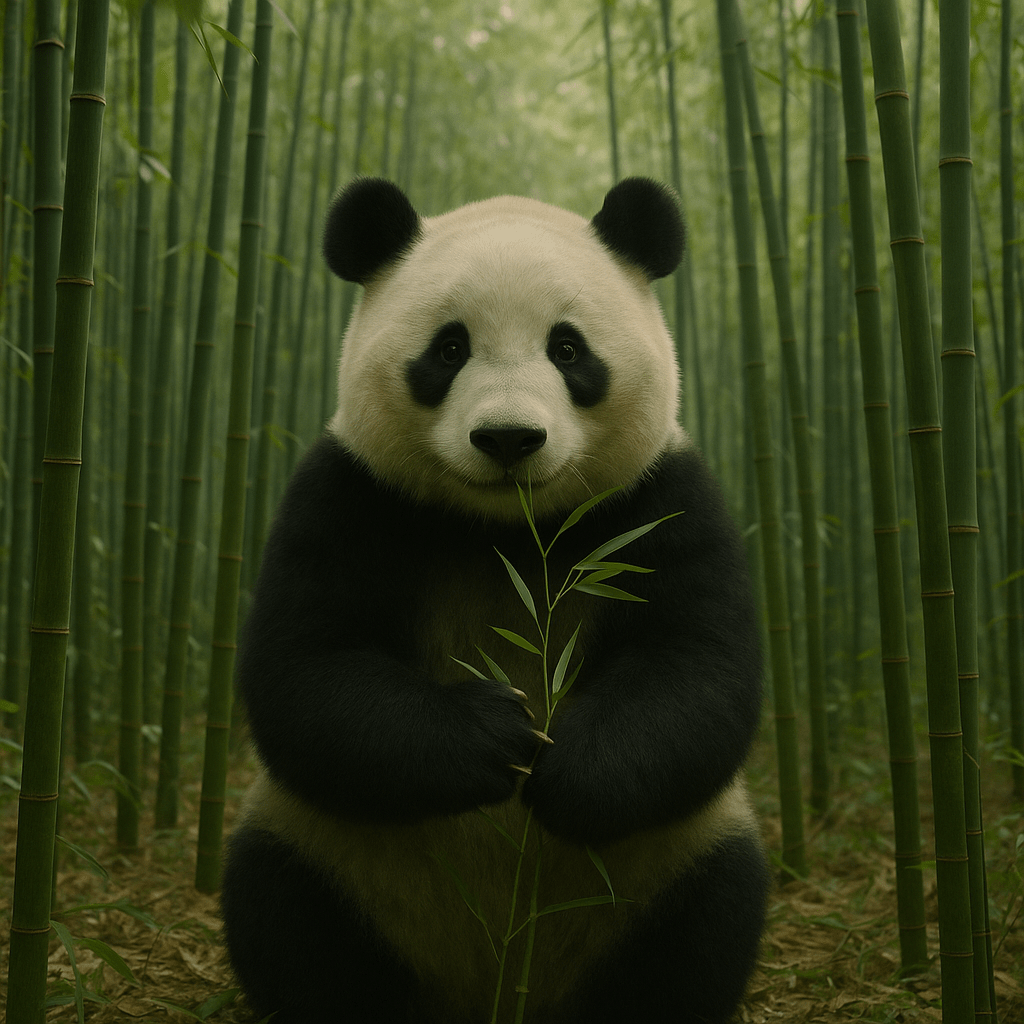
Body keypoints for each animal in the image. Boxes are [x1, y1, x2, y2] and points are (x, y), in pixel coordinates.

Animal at [221, 176, 769, 1024]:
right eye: (450, 349)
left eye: (567, 349)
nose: (509, 438)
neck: (509, 534)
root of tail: (499, 980)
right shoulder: (352, 492)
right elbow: (307, 670)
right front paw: (495, 735)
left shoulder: (657, 501)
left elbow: (697, 669)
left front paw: (567, 766)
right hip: (328, 851)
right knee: (290, 918)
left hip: (665, 864)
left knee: (700, 924)